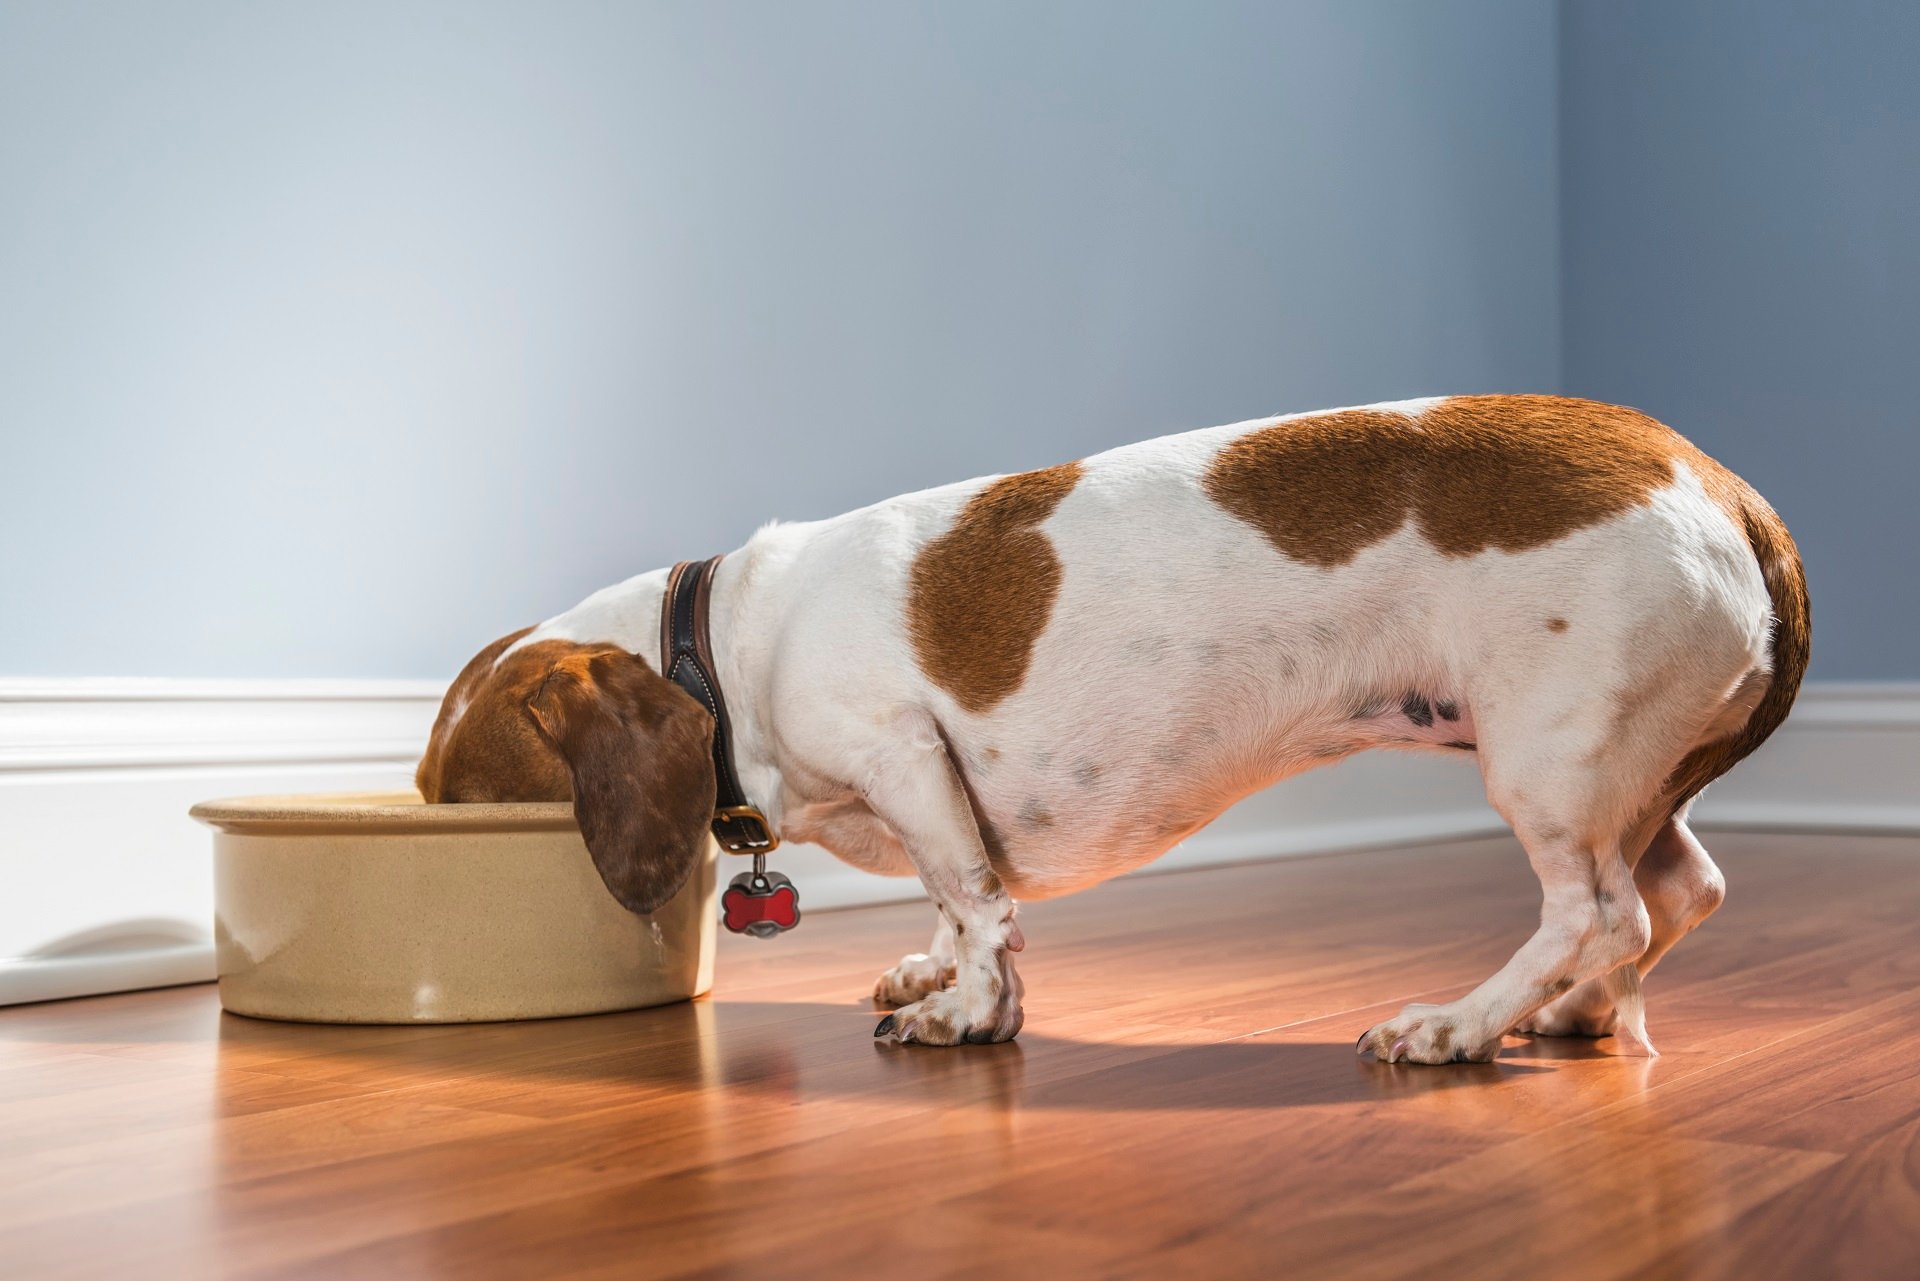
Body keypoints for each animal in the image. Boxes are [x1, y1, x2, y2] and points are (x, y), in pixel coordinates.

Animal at [412, 395, 1804, 1067]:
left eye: (477, 802)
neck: (726, 645)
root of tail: (1726, 489)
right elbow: (951, 901)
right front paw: (936, 974)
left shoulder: (902, 753)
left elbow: (976, 904)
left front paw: (969, 1012)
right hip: (1630, 774)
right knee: (1679, 895)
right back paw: (1574, 1014)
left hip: (1548, 762)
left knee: (1598, 912)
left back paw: (1461, 1025)